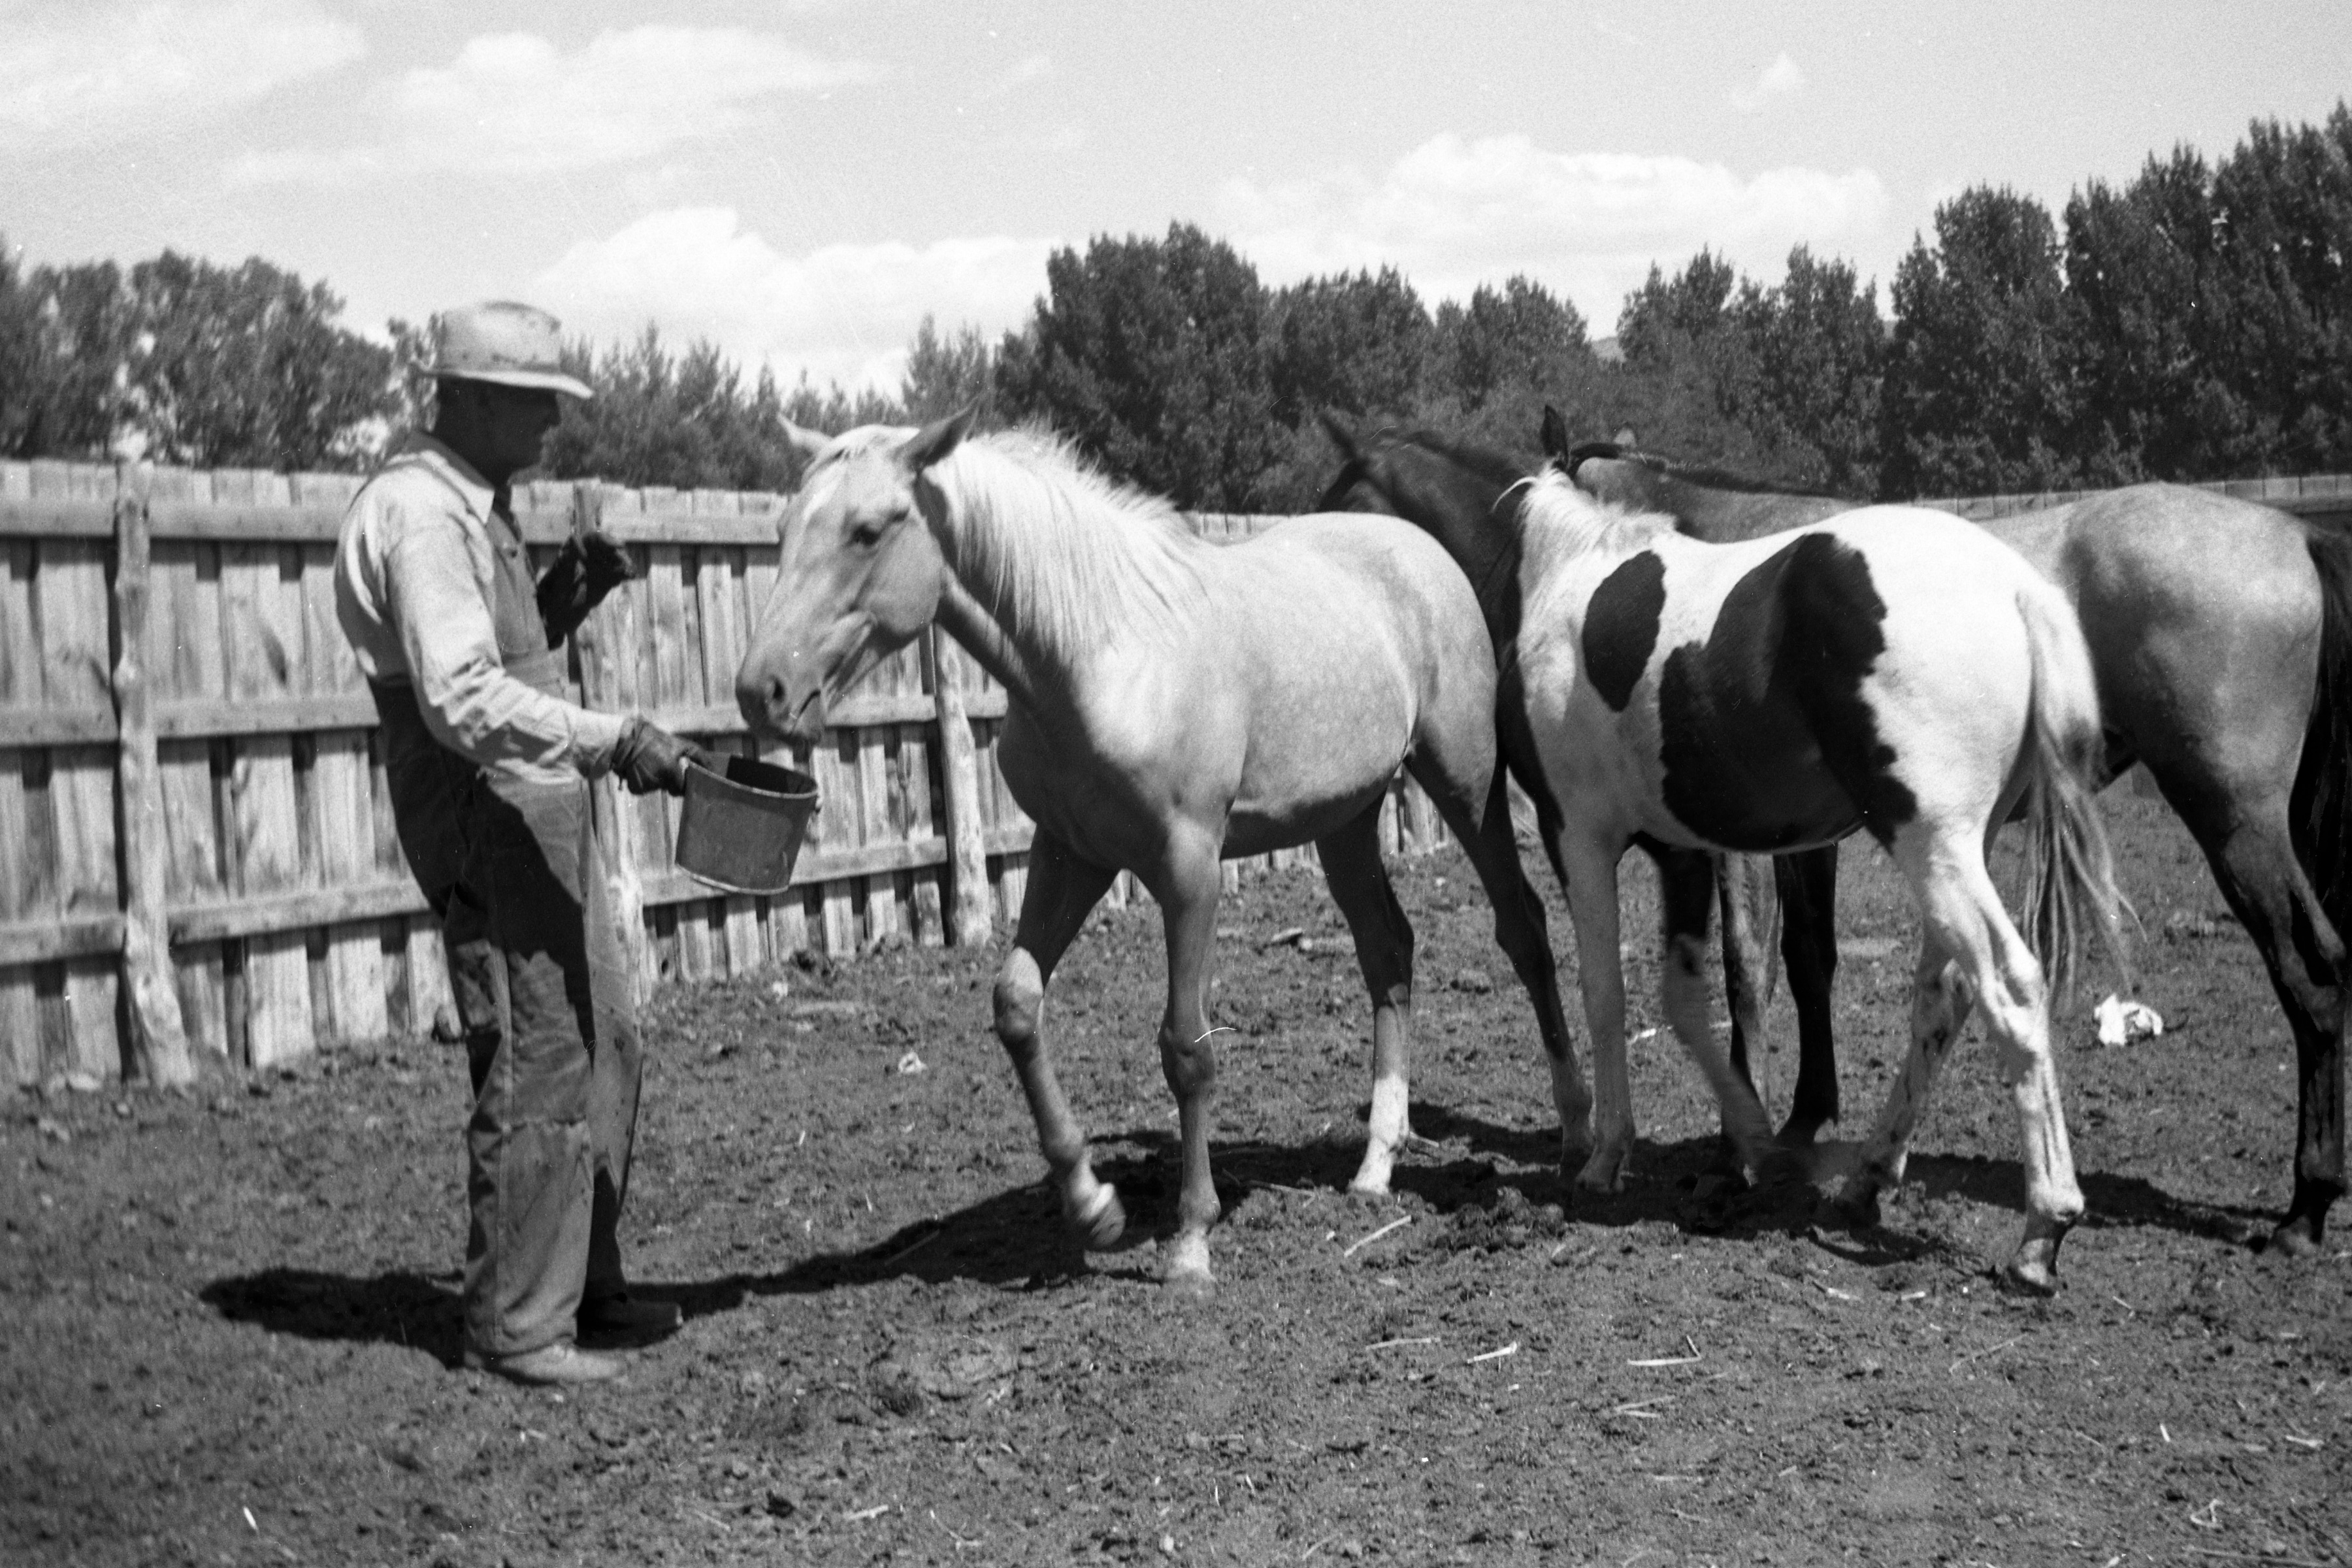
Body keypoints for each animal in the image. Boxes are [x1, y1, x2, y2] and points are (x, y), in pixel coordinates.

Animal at [732, 412, 1587, 1295]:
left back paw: (1579, 1139)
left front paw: (1191, 1240)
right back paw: (1376, 1165)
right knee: (1388, 950)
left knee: (1523, 928)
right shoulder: (1069, 856)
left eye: (868, 530)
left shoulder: (1189, 869)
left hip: (1466, 787)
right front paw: (1093, 1208)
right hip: (1344, 823)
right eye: (784, 531)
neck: (1096, 652)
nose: (761, 690)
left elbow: (1187, 1047)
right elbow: (1017, 1004)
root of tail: (1423, 553)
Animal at [1326, 422, 2131, 1293]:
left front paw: (1608, 1156)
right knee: (1944, 998)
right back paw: (1867, 1179)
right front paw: (1754, 1143)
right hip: (1958, 851)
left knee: (2008, 988)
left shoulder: (1579, 838)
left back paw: (2043, 1227)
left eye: (1336, 501)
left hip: (1934, 847)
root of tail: (2018, 590)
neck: (1563, 568)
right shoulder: (1682, 851)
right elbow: (1688, 998)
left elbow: (1609, 993)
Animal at [1559, 418, 2352, 1257]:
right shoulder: (1810, 839)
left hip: (2236, 824)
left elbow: (1760, 969)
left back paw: (2306, 1207)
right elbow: (1811, 959)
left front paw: (1746, 1144)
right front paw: (1805, 1120)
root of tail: (2298, 535)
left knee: (2312, 973)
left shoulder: (1748, 840)